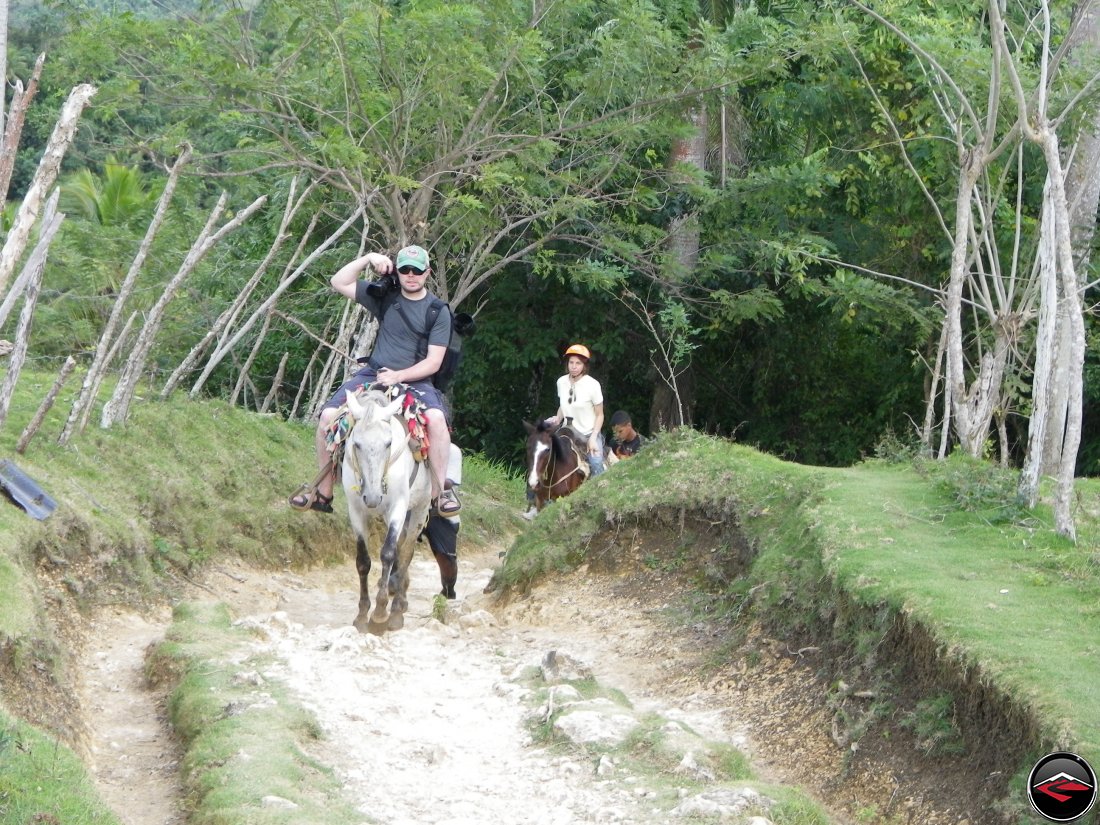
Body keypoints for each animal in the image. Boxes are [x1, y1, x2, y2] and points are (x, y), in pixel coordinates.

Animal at [341, 391, 431, 638]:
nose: (372, 498)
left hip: (420, 509)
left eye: (388, 443)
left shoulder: (398, 507)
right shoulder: (355, 509)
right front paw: (362, 615)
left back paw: (397, 610)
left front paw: (380, 615)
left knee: (406, 552)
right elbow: (363, 561)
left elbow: (389, 553)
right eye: (357, 444)